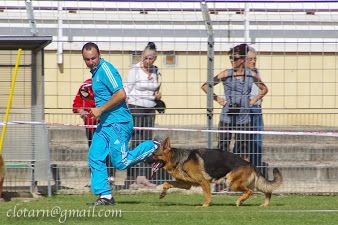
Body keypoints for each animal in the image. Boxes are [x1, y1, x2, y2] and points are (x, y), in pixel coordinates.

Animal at [148, 137, 282, 207]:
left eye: (154, 155)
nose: (145, 160)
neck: (179, 159)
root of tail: (251, 164)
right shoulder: (186, 184)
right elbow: (167, 183)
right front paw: (162, 193)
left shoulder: (203, 181)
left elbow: (207, 195)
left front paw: (205, 206)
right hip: (250, 183)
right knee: (267, 191)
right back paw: (264, 205)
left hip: (232, 183)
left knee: (250, 191)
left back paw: (240, 201)